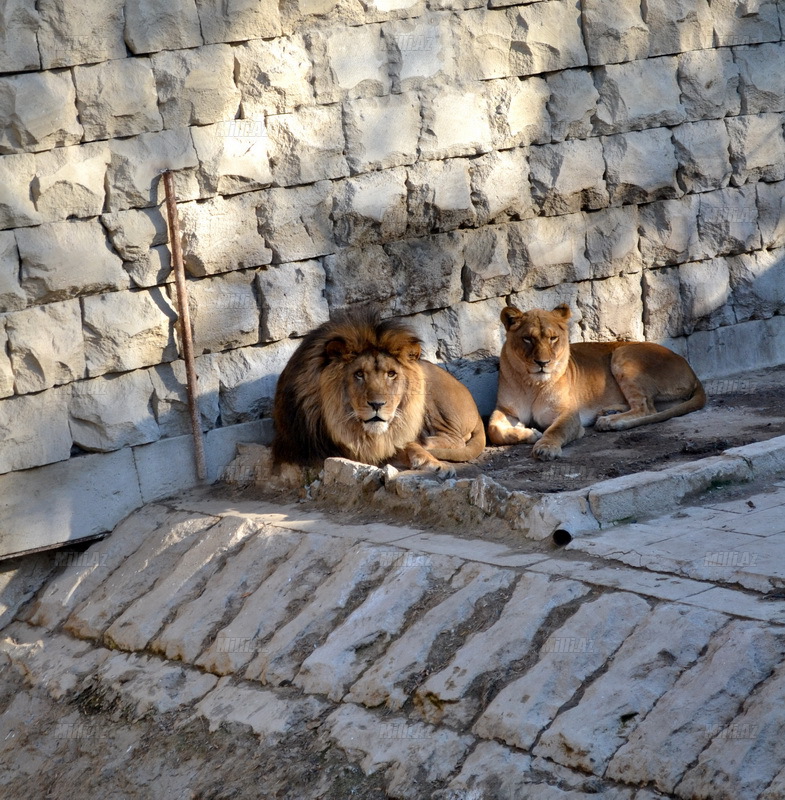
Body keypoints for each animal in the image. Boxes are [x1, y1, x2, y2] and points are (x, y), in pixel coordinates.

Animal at [274, 310, 484, 476]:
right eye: (359, 374)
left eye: (391, 374)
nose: (377, 405)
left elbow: (411, 447)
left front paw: (438, 464)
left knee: (456, 440)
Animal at [490, 304, 704, 460]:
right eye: (527, 339)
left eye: (553, 338)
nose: (543, 363)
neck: (532, 384)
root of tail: (691, 370)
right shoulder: (507, 410)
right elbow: (493, 429)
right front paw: (530, 433)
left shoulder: (569, 414)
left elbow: (556, 430)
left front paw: (545, 447)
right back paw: (608, 412)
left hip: (623, 353)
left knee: (647, 409)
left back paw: (609, 422)